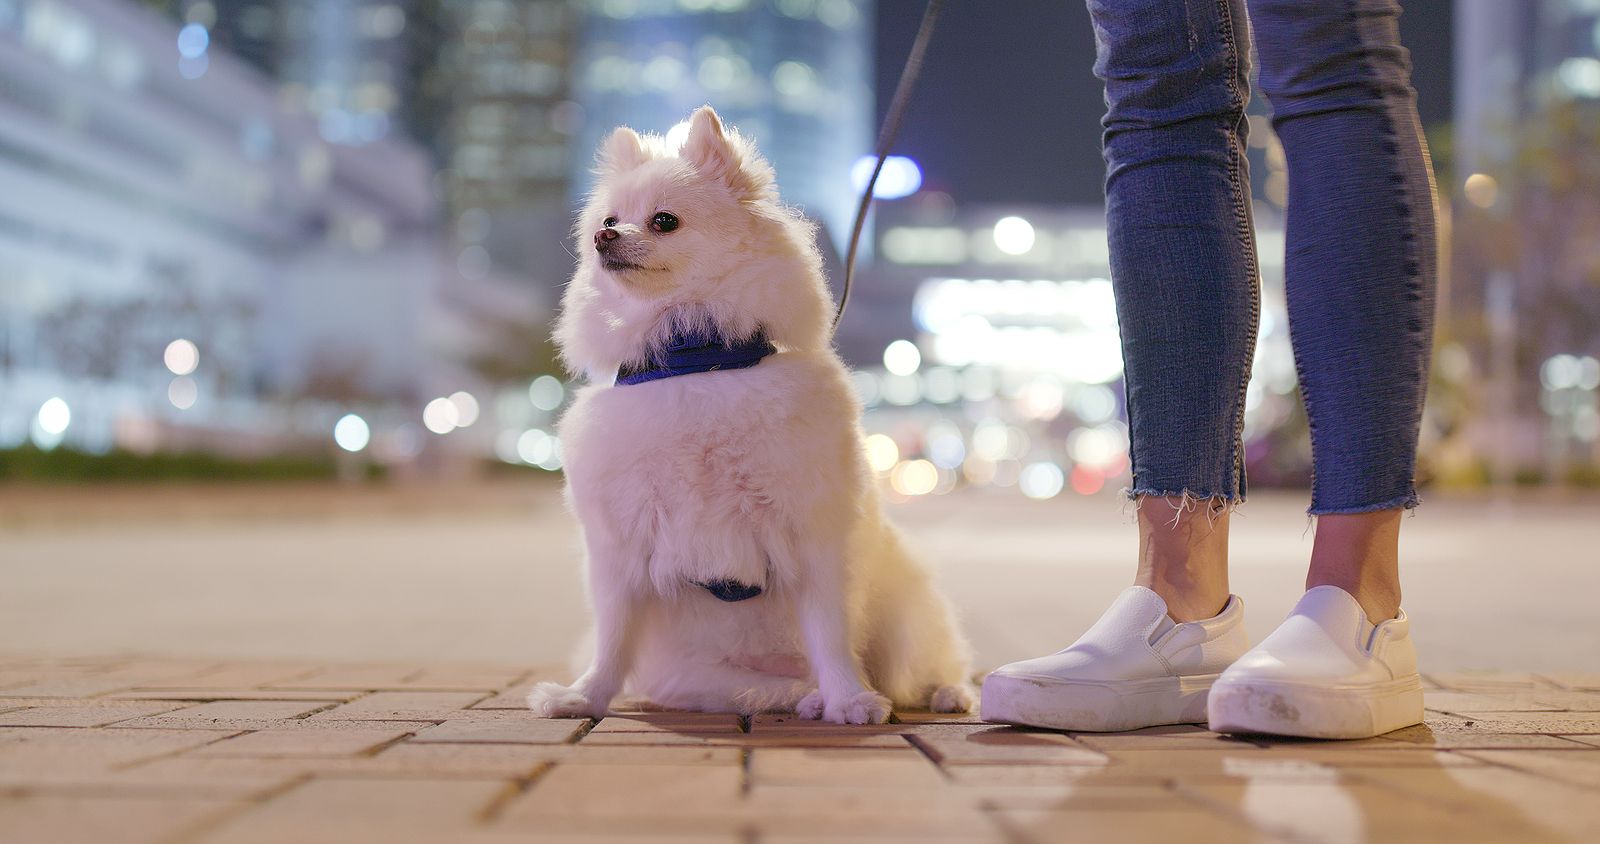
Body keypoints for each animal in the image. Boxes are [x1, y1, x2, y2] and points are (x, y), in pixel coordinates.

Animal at [528, 105, 972, 725]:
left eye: (664, 221)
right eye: (611, 219)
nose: (603, 236)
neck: (697, 359)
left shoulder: (812, 534)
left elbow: (829, 630)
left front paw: (851, 698)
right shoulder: (620, 549)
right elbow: (612, 639)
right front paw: (584, 696)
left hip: (906, 621)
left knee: (920, 668)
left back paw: (941, 692)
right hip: (691, 673)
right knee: (758, 688)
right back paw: (804, 696)